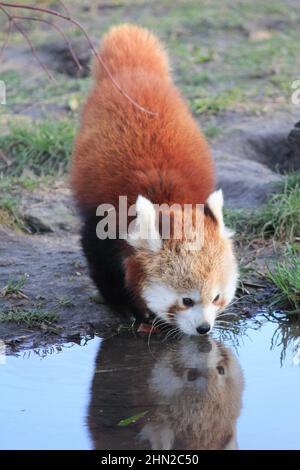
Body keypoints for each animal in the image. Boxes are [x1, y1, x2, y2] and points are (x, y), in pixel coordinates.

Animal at [71, 24, 238, 334]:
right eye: (186, 300)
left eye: (216, 297)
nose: (204, 328)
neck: (166, 198)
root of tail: (135, 72)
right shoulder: (104, 219)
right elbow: (100, 261)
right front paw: (128, 307)